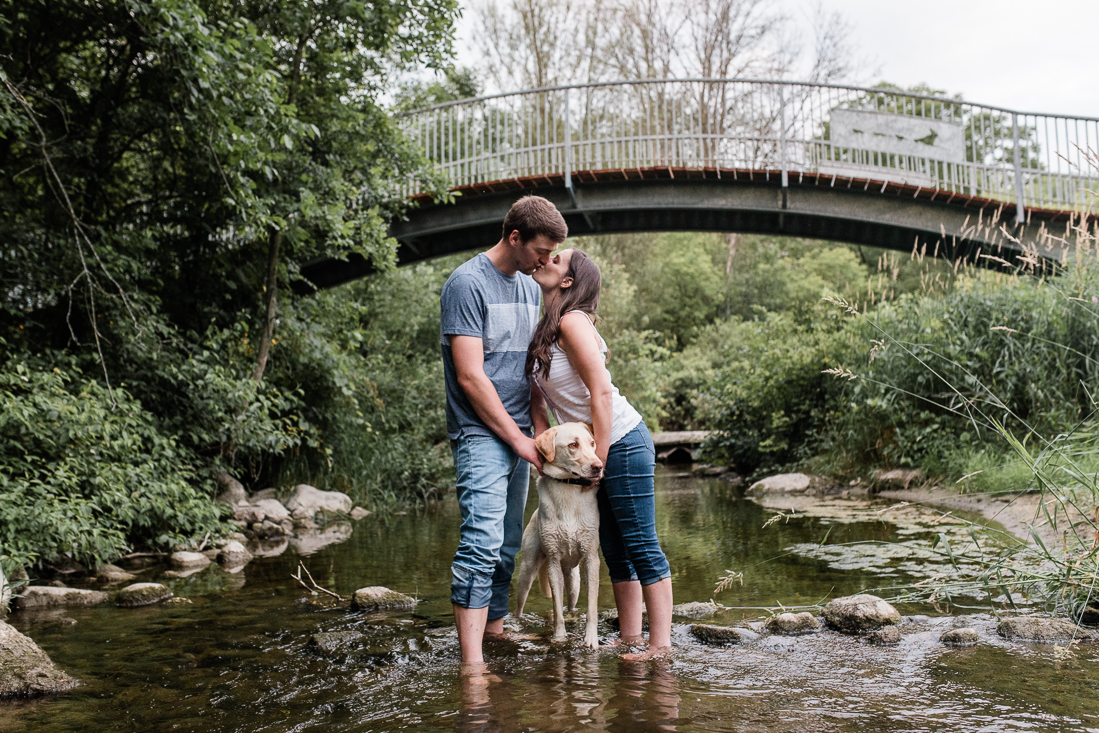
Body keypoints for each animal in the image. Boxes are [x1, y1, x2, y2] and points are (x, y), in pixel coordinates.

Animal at [512, 421, 602, 650]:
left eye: (592, 443)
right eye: (573, 445)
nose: (599, 466)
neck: (568, 488)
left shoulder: (591, 558)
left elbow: (591, 606)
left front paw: (591, 639)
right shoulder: (552, 561)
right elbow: (556, 608)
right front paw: (559, 637)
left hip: (574, 582)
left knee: (570, 606)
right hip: (527, 572)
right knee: (519, 608)